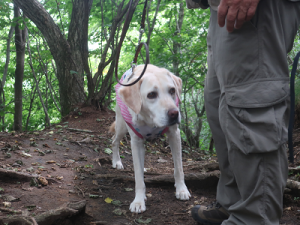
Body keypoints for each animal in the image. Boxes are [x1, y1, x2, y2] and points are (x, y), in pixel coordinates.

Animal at [109, 63, 190, 213]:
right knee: (114, 141)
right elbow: (138, 178)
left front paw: (182, 190)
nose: (174, 113)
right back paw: (116, 161)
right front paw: (139, 201)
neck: (151, 121)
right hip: (121, 126)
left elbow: (179, 168)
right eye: (151, 95)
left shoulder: (174, 135)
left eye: (172, 90)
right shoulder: (136, 143)